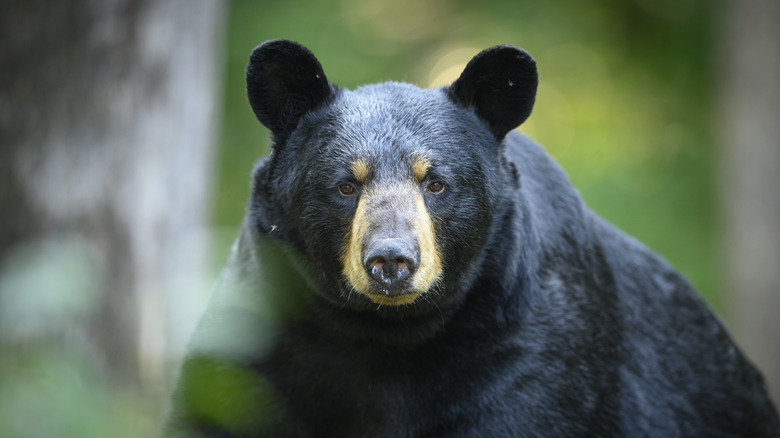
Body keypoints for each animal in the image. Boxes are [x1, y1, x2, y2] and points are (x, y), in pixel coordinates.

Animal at [165, 39, 780, 436]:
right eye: (345, 184)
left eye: (435, 182)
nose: (391, 261)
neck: (381, 337)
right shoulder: (261, 335)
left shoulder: (528, 351)